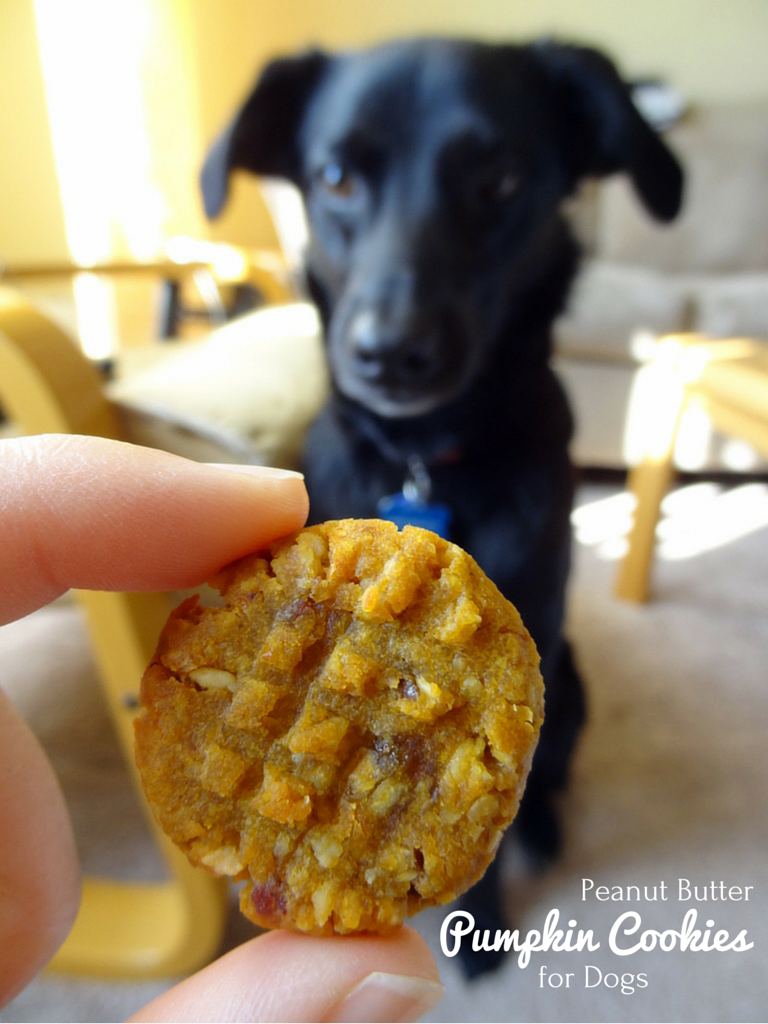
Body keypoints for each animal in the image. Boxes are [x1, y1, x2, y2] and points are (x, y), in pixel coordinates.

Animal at [199, 36, 684, 970]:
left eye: (500, 180)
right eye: (336, 177)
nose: (389, 352)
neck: (427, 461)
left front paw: (482, 926)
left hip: (572, 681)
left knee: (550, 777)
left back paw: (544, 833)